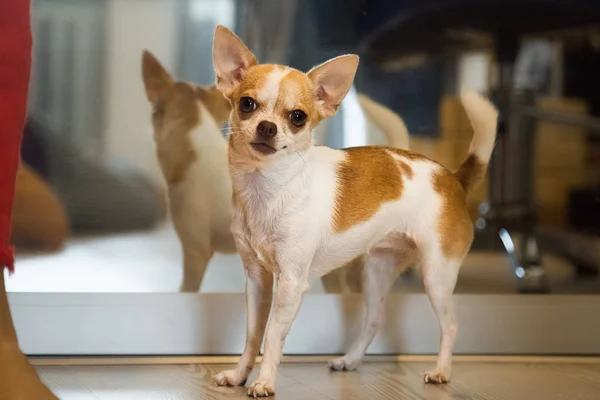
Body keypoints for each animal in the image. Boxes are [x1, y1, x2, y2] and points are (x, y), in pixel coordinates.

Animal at [211, 25, 496, 396]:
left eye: (298, 117)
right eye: (247, 104)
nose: (267, 127)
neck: (269, 188)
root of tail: (453, 178)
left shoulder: (290, 282)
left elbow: (273, 334)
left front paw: (264, 382)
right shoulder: (257, 279)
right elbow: (252, 334)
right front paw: (238, 375)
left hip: (436, 273)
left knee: (450, 325)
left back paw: (441, 371)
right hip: (377, 271)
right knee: (375, 320)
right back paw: (350, 360)